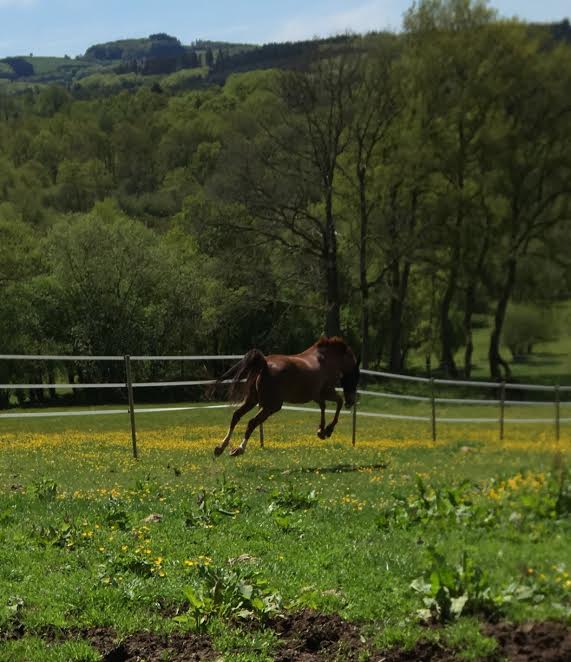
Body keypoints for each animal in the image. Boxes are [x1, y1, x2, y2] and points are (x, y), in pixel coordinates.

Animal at [212, 340, 360, 460]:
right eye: (356, 373)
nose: (351, 400)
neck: (325, 360)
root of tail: (264, 365)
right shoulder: (327, 392)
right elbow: (338, 402)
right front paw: (327, 430)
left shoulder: (317, 396)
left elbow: (323, 407)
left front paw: (321, 431)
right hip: (271, 406)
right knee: (252, 422)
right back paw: (239, 449)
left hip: (252, 401)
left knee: (236, 416)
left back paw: (221, 447)